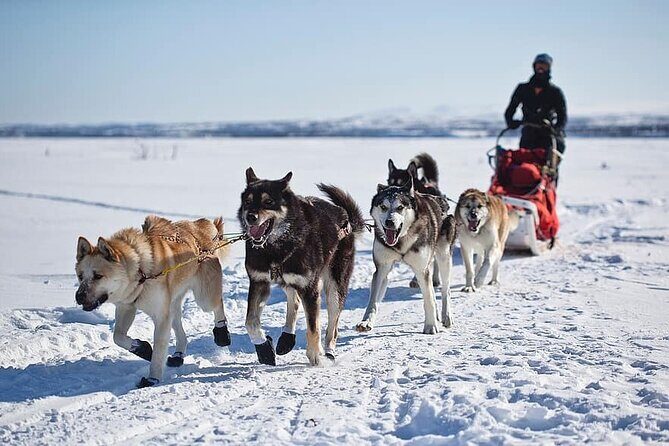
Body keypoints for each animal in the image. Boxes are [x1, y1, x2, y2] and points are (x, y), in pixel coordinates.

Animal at [75, 215, 232, 388]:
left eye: (98, 276)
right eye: (80, 276)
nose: (79, 296)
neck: (141, 272)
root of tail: (202, 224)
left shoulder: (161, 317)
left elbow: (158, 350)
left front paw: (152, 378)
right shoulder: (126, 307)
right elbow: (118, 336)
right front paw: (141, 348)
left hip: (204, 298)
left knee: (217, 304)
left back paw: (222, 333)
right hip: (173, 306)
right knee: (180, 331)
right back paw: (178, 355)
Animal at [238, 168, 365, 366]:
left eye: (269, 202)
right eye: (248, 201)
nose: (250, 217)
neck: (275, 248)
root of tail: (345, 217)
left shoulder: (309, 288)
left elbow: (314, 327)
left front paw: (315, 355)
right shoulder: (259, 282)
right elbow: (250, 322)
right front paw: (264, 348)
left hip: (335, 287)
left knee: (332, 325)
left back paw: (328, 352)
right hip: (288, 280)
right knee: (295, 301)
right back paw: (286, 338)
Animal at [356, 178, 456, 334]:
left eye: (400, 207)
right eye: (383, 207)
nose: (389, 222)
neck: (401, 241)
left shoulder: (421, 269)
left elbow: (428, 299)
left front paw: (430, 326)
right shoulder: (382, 268)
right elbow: (373, 301)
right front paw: (366, 322)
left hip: (444, 257)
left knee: (446, 290)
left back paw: (446, 315)